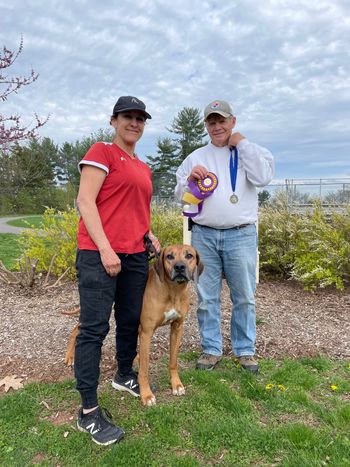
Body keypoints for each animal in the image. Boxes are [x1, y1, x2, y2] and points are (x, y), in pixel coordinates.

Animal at [64, 245, 204, 406]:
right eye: (169, 256)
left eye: (189, 256)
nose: (179, 267)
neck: (173, 291)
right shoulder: (147, 332)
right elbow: (144, 369)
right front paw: (146, 395)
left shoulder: (177, 327)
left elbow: (173, 361)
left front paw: (176, 385)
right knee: (76, 330)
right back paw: (69, 356)